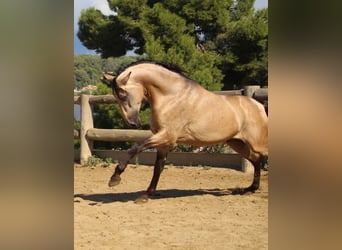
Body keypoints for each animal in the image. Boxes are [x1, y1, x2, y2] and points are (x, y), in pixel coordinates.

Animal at [103, 60, 268, 203]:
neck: (171, 96)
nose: (133, 123)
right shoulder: (163, 141)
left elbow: (135, 148)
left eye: (122, 93)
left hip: (256, 143)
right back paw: (249, 189)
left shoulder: (167, 136)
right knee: (255, 159)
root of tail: (259, 105)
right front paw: (146, 195)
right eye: (116, 96)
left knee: (260, 158)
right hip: (236, 143)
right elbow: (158, 167)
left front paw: (114, 178)